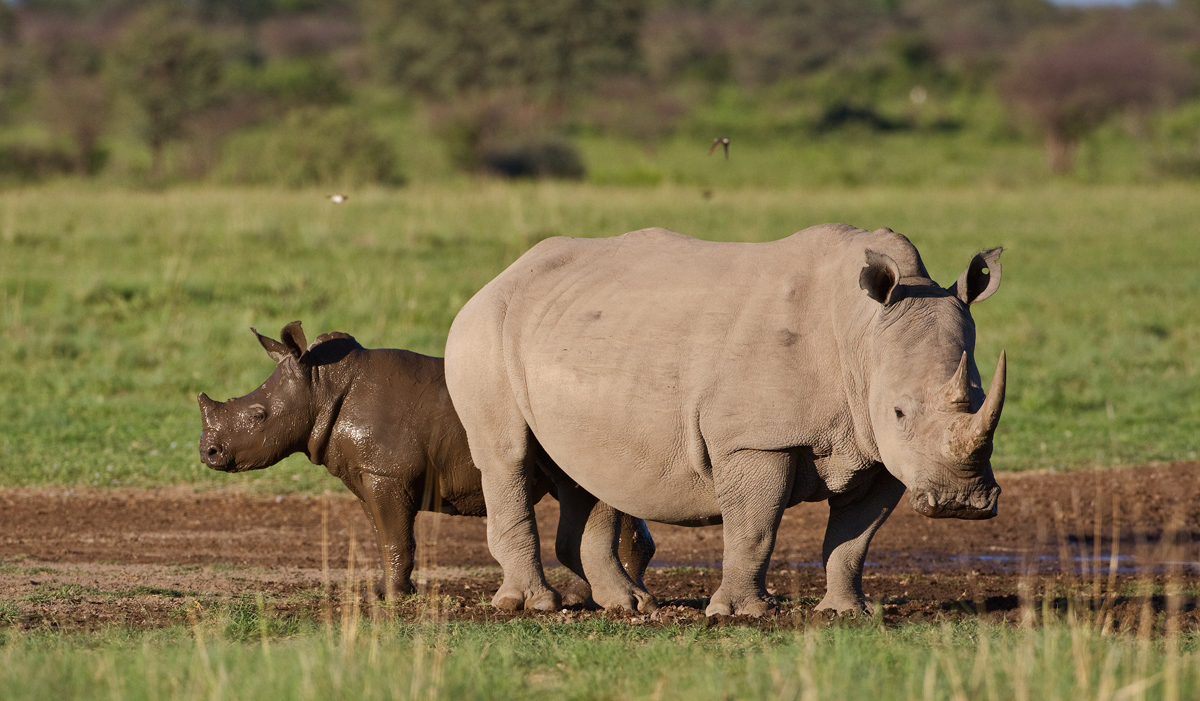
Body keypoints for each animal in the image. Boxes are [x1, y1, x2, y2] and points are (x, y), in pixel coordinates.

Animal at [197, 321, 655, 607]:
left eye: (258, 415)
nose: (208, 453)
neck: (321, 387)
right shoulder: (367, 475)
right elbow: (385, 536)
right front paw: (383, 592)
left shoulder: (386, 473)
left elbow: (397, 537)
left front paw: (398, 598)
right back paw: (603, 596)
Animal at [444, 224, 1006, 616]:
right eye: (899, 411)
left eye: (983, 400)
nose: (959, 503)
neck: (862, 334)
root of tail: (501, 275)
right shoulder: (755, 440)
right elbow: (755, 527)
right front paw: (741, 613)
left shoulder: (881, 450)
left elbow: (855, 538)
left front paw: (850, 612)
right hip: (482, 330)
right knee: (507, 456)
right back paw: (532, 605)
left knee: (589, 471)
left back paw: (629, 604)